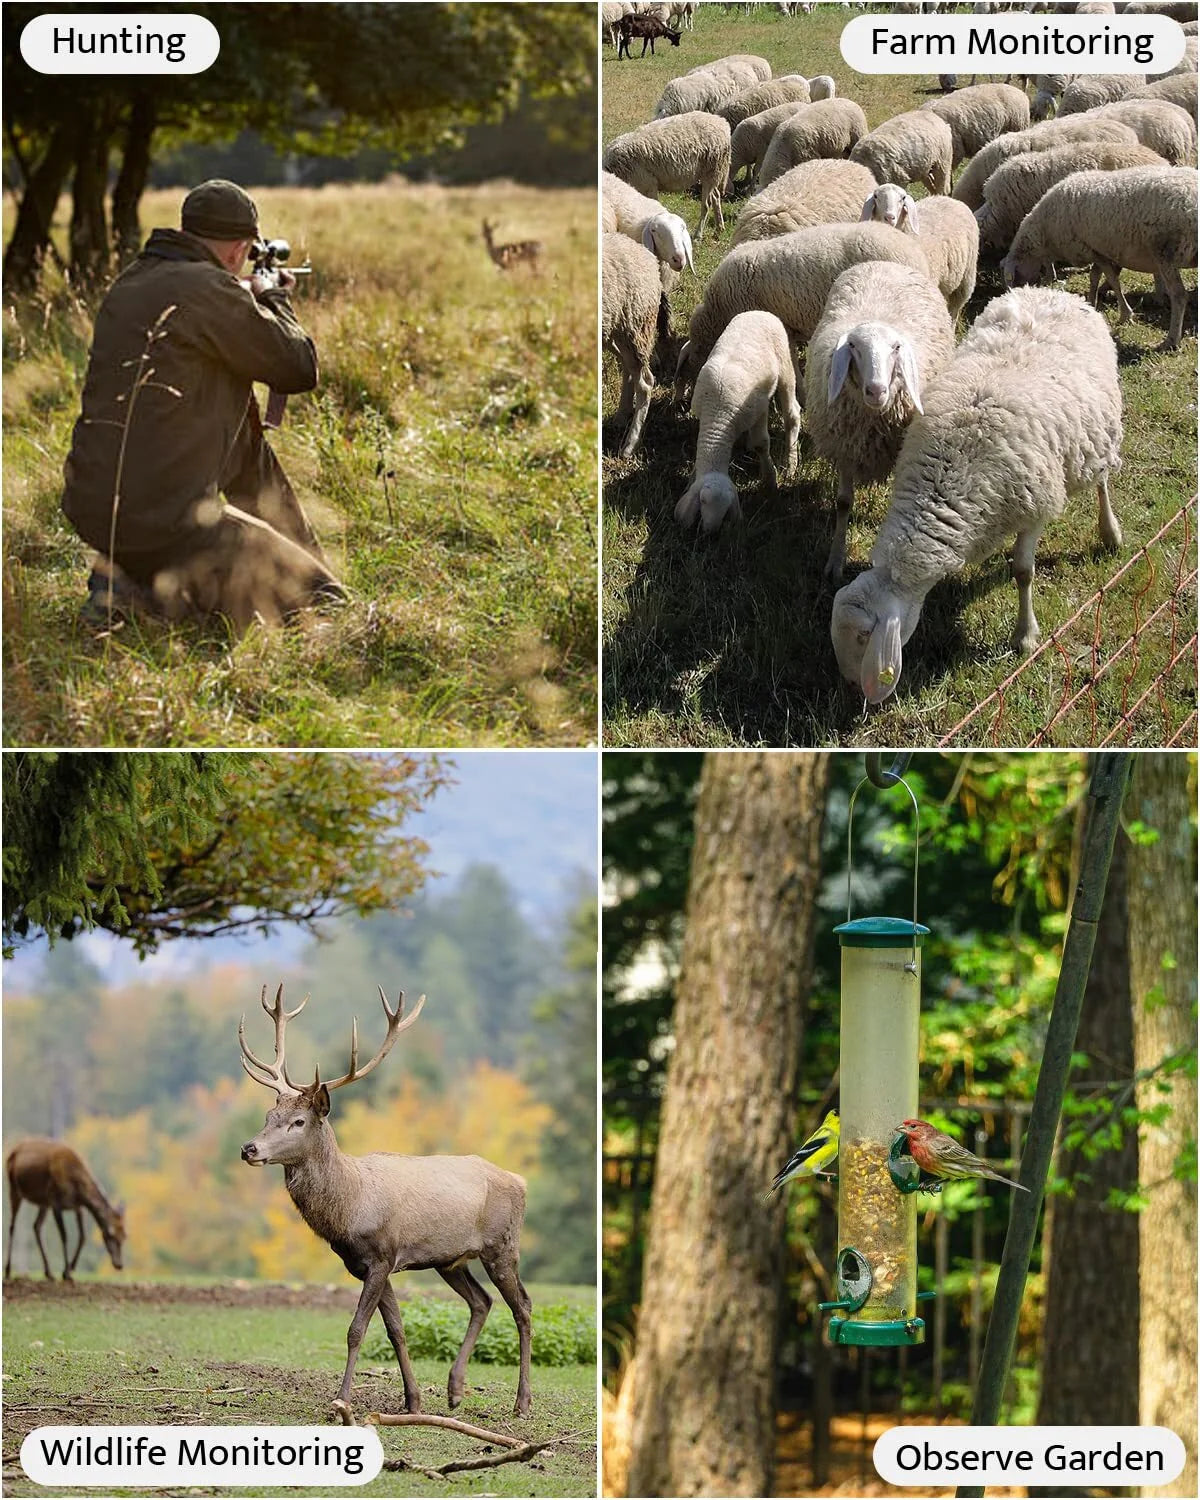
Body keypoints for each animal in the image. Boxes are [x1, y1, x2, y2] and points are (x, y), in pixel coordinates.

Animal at [4, 1139, 126, 1281]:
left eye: (124, 1236)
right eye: (111, 1236)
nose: (119, 1265)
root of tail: (13, 1150)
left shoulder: (77, 1207)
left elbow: (82, 1237)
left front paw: (70, 1268)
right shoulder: (56, 1202)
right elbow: (64, 1235)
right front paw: (66, 1272)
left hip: (44, 1202)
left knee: (36, 1226)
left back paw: (49, 1273)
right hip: (14, 1188)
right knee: (12, 1226)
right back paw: (7, 1270)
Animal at [239, 983, 532, 1417]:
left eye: (298, 1122)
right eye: (267, 1116)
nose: (249, 1148)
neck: (349, 1209)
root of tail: (520, 1181)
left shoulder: (381, 1255)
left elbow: (356, 1330)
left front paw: (342, 1400)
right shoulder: (368, 1265)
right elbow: (396, 1330)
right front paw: (412, 1402)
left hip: (502, 1245)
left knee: (522, 1307)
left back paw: (521, 1402)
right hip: (450, 1259)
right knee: (482, 1302)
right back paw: (455, 1390)